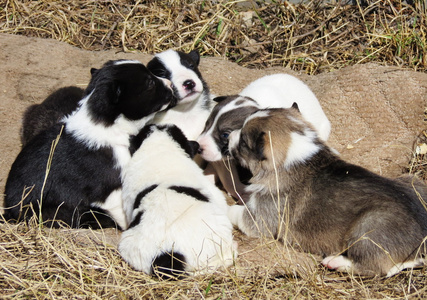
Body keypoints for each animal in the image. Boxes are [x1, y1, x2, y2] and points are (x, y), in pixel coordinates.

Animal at [227, 107, 427, 276]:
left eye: (243, 141)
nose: (228, 135)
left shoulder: (259, 217)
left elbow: (236, 212)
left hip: (369, 227)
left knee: (379, 268)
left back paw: (335, 262)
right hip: (412, 181)